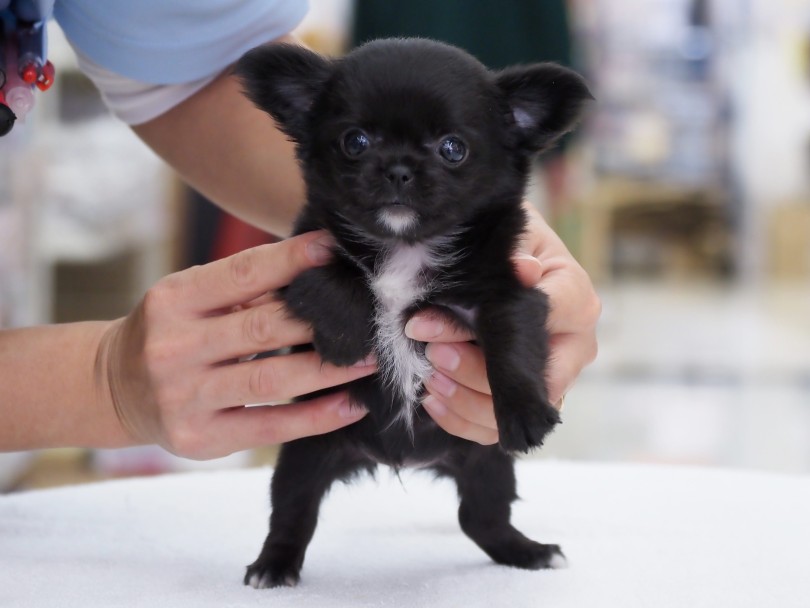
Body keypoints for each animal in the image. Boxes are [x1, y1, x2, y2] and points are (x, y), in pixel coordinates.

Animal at [234, 38, 588, 588]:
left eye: (452, 148)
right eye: (355, 141)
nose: (397, 168)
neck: (405, 246)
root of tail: (401, 458)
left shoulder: (504, 294)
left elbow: (510, 342)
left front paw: (526, 414)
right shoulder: (295, 260)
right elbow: (338, 275)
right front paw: (347, 339)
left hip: (486, 462)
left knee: (480, 517)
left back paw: (530, 553)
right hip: (305, 452)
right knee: (293, 512)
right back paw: (273, 567)